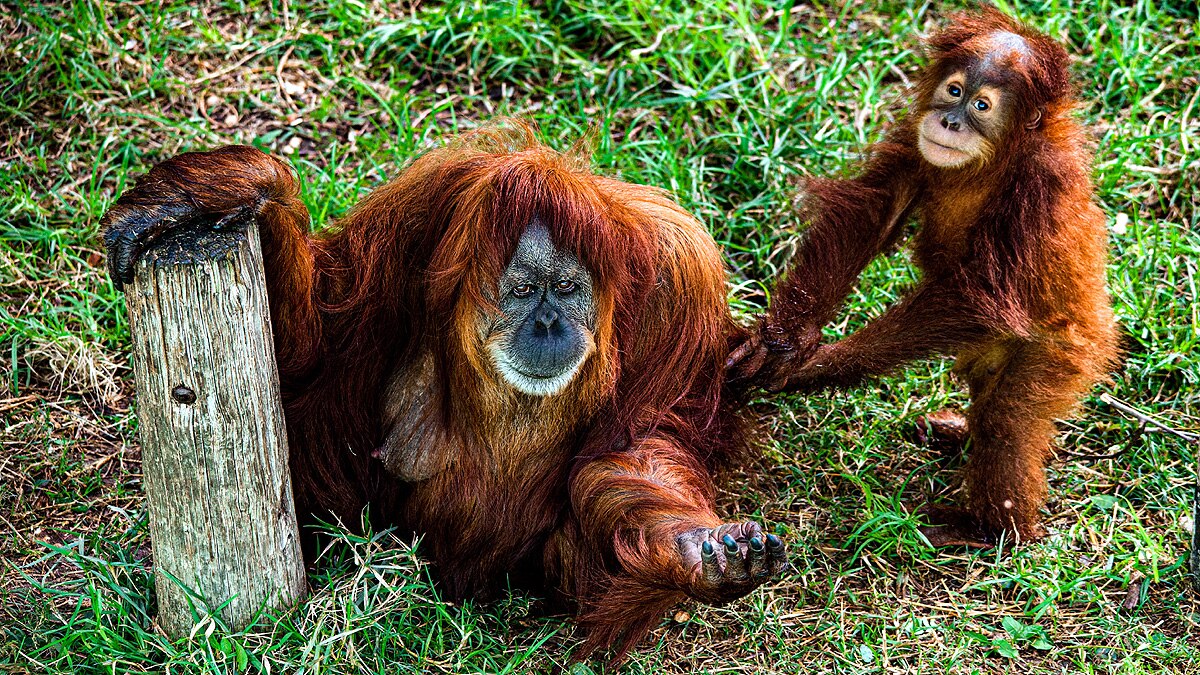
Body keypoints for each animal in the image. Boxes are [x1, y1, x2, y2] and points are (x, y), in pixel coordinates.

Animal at [729, 9, 1120, 547]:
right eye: (954, 91)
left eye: (981, 105)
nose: (951, 121)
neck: (991, 162)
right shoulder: (913, 144)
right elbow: (877, 209)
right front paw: (785, 341)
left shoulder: (1040, 189)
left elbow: (982, 296)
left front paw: (813, 366)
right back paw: (957, 434)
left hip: (1063, 353)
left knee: (1007, 421)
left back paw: (989, 530)